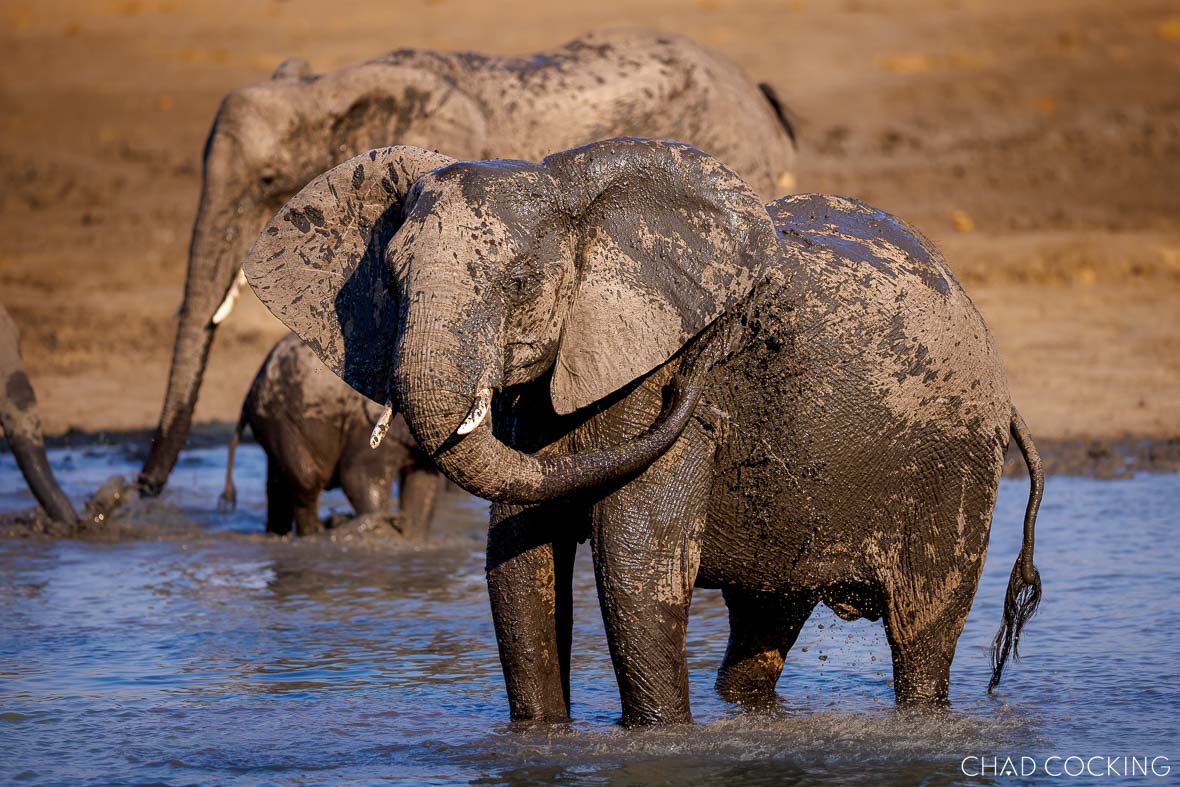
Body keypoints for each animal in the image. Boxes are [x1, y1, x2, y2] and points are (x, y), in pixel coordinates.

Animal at [220, 332, 442, 537]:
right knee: (306, 479)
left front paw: (410, 537)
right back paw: (312, 534)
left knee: (278, 484)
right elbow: (356, 476)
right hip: (277, 415)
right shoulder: (365, 421)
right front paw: (381, 531)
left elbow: (424, 487)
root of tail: (252, 386)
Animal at [242, 140, 1042, 726]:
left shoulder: (650, 366)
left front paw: (658, 741)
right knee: (764, 623)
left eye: (522, 282)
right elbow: (519, 566)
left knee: (921, 635)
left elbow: (635, 560)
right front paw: (539, 739)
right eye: (390, 282)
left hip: (954, 465)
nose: (704, 386)